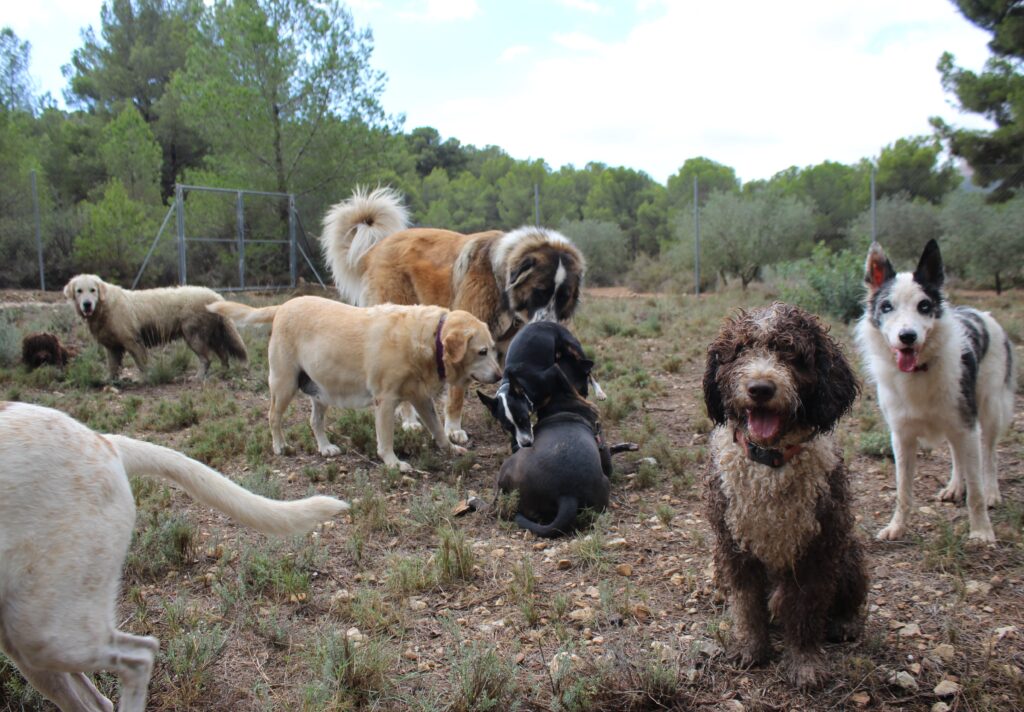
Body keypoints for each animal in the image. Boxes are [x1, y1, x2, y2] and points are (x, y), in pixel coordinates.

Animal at [209, 297, 501, 473]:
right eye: (482, 351)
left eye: (493, 348)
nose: (500, 376)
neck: (429, 338)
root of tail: (282, 306)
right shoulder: (385, 401)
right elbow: (386, 439)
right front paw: (393, 462)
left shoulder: (420, 398)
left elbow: (438, 428)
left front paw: (450, 448)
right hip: (284, 385)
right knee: (272, 417)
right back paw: (279, 446)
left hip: (320, 391)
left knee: (314, 422)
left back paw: (325, 447)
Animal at [319, 185, 585, 440]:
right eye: (540, 292)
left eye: (563, 297)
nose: (549, 326)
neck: (500, 280)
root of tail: (375, 248)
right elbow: (457, 392)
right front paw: (454, 429)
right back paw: (410, 422)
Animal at [708, 303, 868, 688]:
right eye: (740, 350)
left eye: (792, 353)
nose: (760, 388)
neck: (770, 463)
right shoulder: (734, 545)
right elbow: (747, 604)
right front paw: (751, 648)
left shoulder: (815, 547)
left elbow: (805, 609)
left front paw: (805, 662)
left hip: (849, 553)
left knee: (850, 597)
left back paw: (845, 622)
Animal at [856, 236, 1015, 545]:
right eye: (887, 307)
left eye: (924, 306)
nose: (907, 336)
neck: (919, 371)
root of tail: (983, 313)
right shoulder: (902, 436)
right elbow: (903, 491)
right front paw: (897, 527)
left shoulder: (967, 425)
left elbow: (975, 491)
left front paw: (981, 531)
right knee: (957, 454)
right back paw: (954, 487)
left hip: (988, 410)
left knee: (989, 456)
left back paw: (992, 492)